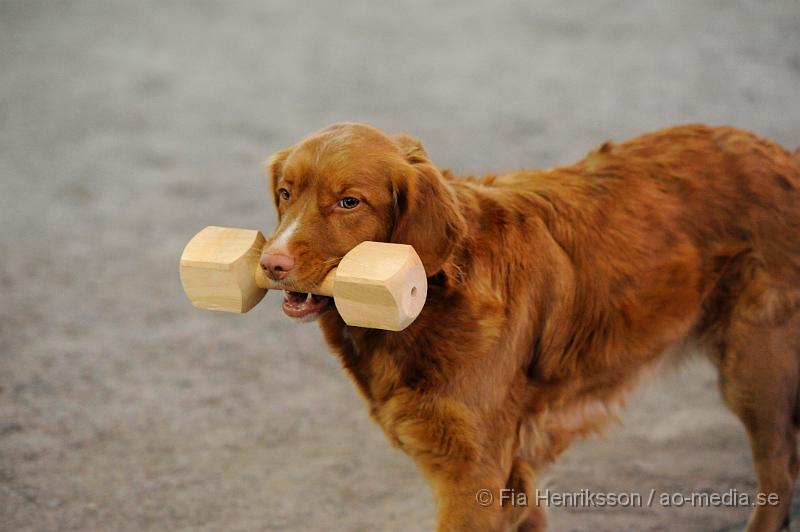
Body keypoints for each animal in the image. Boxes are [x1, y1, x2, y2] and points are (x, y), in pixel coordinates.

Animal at [260, 122, 796, 528]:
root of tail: (780, 155)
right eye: (285, 193)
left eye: (349, 202)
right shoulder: (511, 477)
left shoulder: (474, 476)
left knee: (779, 477)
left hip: (756, 369)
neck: (432, 299)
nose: (271, 263)